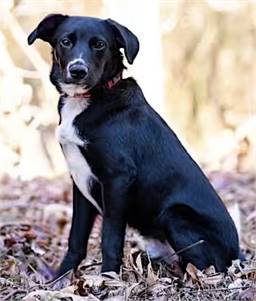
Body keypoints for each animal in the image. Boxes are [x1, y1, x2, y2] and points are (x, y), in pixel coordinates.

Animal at [28, 14, 240, 276]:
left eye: (99, 45)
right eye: (65, 41)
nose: (77, 70)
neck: (90, 99)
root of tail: (237, 254)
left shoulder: (117, 178)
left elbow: (110, 238)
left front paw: (108, 277)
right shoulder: (80, 181)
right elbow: (76, 239)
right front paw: (60, 277)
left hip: (175, 215)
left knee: (206, 267)